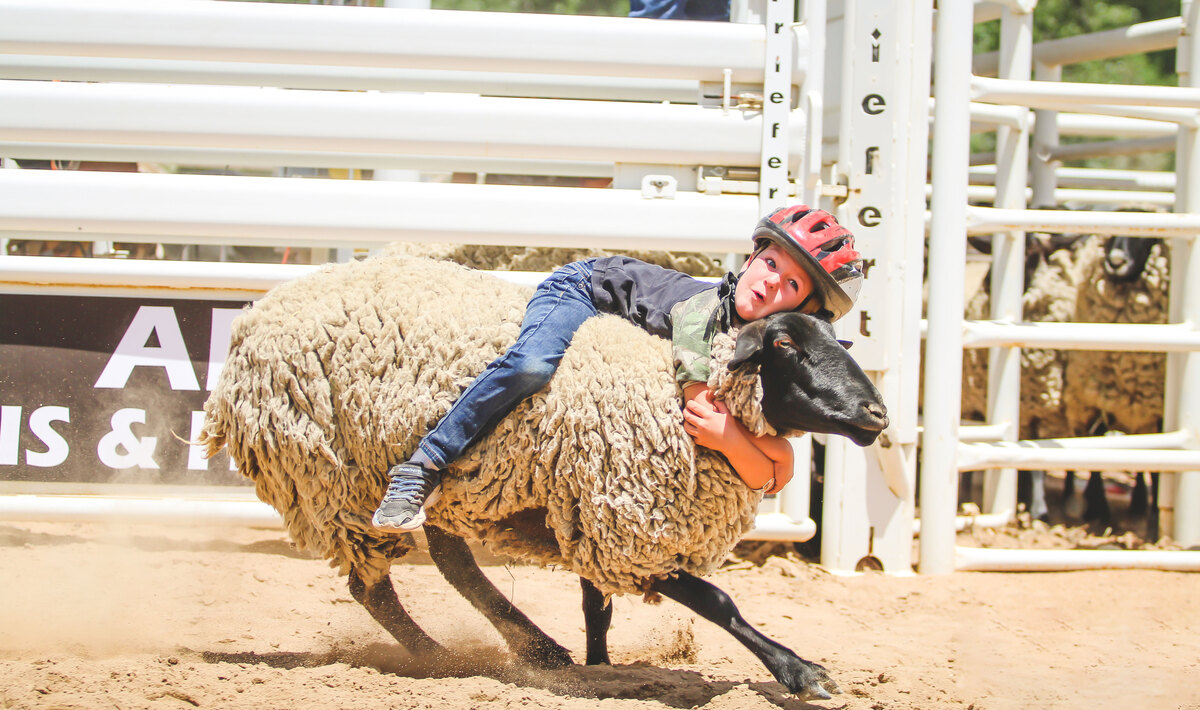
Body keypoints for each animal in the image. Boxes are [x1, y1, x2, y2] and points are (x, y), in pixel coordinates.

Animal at [198, 254, 888, 700]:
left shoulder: (597, 518)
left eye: (836, 339)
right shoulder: (628, 530)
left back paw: (537, 650)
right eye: (785, 345)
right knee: (373, 589)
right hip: (332, 481)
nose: (877, 414)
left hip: (446, 491)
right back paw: (441, 660)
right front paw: (802, 673)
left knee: (453, 566)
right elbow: (719, 601)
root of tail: (252, 320)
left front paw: (599, 669)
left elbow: (597, 609)